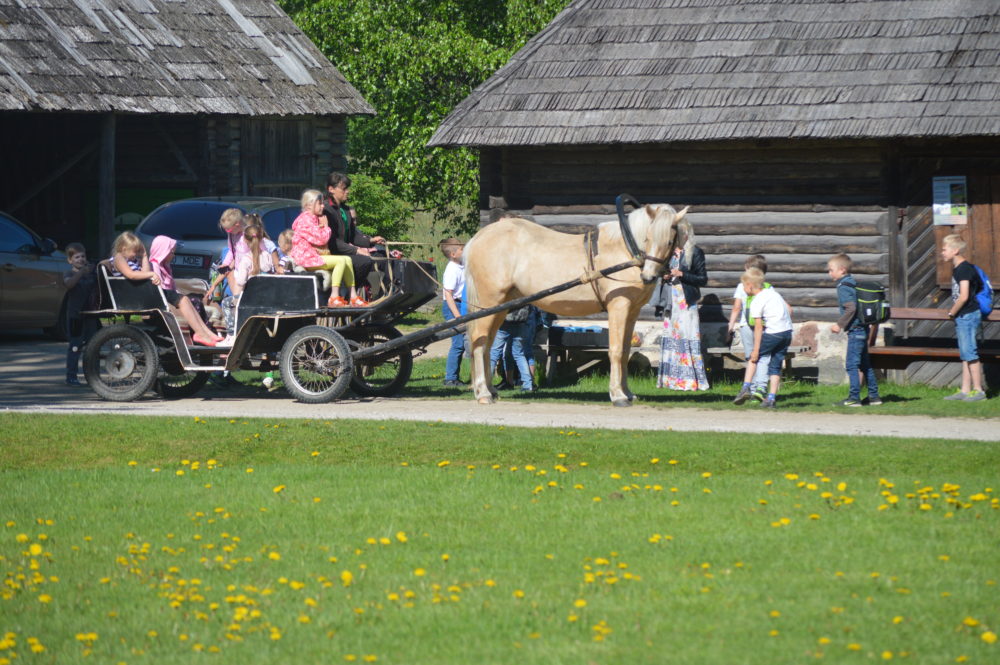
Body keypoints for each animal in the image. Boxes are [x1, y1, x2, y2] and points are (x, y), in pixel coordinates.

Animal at [462, 205, 688, 408]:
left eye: (669, 241)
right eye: (648, 238)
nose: (647, 276)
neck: (625, 249)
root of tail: (478, 238)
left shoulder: (632, 311)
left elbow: (625, 351)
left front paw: (628, 393)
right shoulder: (618, 307)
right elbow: (615, 351)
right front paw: (618, 395)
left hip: (500, 307)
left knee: (486, 343)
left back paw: (490, 390)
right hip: (489, 303)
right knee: (479, 342)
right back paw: (483, 393)